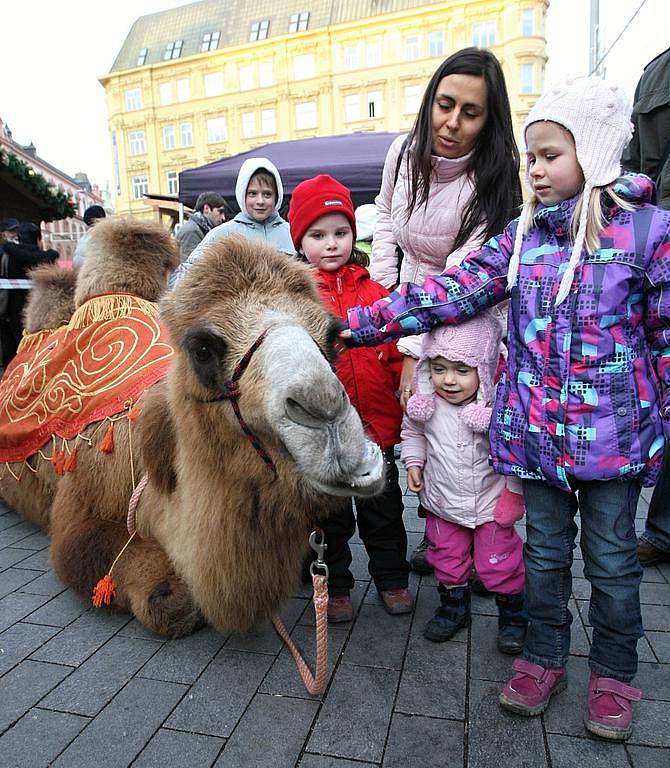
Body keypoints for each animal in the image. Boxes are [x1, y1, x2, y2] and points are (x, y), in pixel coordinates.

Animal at [0, 220, 386, 636]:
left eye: (332, 337)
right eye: (202, 349)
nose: (324, 409)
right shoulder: (81, 505)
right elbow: (104, 563)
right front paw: (167, 595)